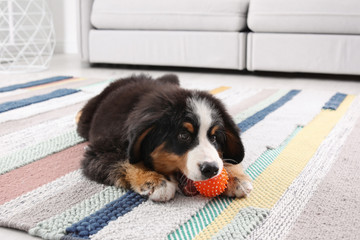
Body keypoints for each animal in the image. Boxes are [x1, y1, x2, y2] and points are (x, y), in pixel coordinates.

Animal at [77, 74, 252, 202]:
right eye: (183, 136)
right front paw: (153, 180)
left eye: (214, 137)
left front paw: (236, 177)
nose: (211, 169)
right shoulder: (99, 152)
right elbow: (125, 161)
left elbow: (224, 159)